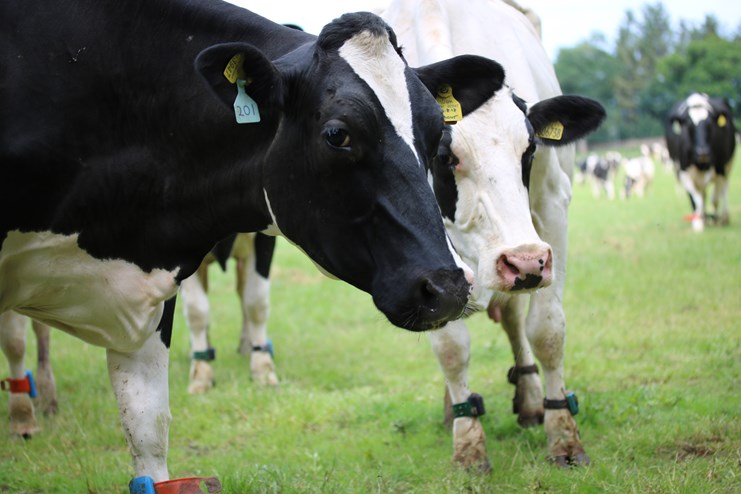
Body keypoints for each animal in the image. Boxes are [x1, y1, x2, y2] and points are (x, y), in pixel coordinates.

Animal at [381, 0, 605, 470]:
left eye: (531, 148)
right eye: (444, 154)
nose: (524, 261)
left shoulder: (551, 209)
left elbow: (546, 330)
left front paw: (563, 435)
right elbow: (450, 345)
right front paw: (468, 442)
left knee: (518, 319)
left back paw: (533, 399)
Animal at [665, 93, 737, 232]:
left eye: (710, 123)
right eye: (689, 125)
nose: (702, 152)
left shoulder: (720, 168)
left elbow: (715, 198)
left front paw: (715, 219)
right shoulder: (683, 172)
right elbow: (696, 199)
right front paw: (698, 223)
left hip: (728, 166)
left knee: (723, 189)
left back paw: (723, 217)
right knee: (701, 195)